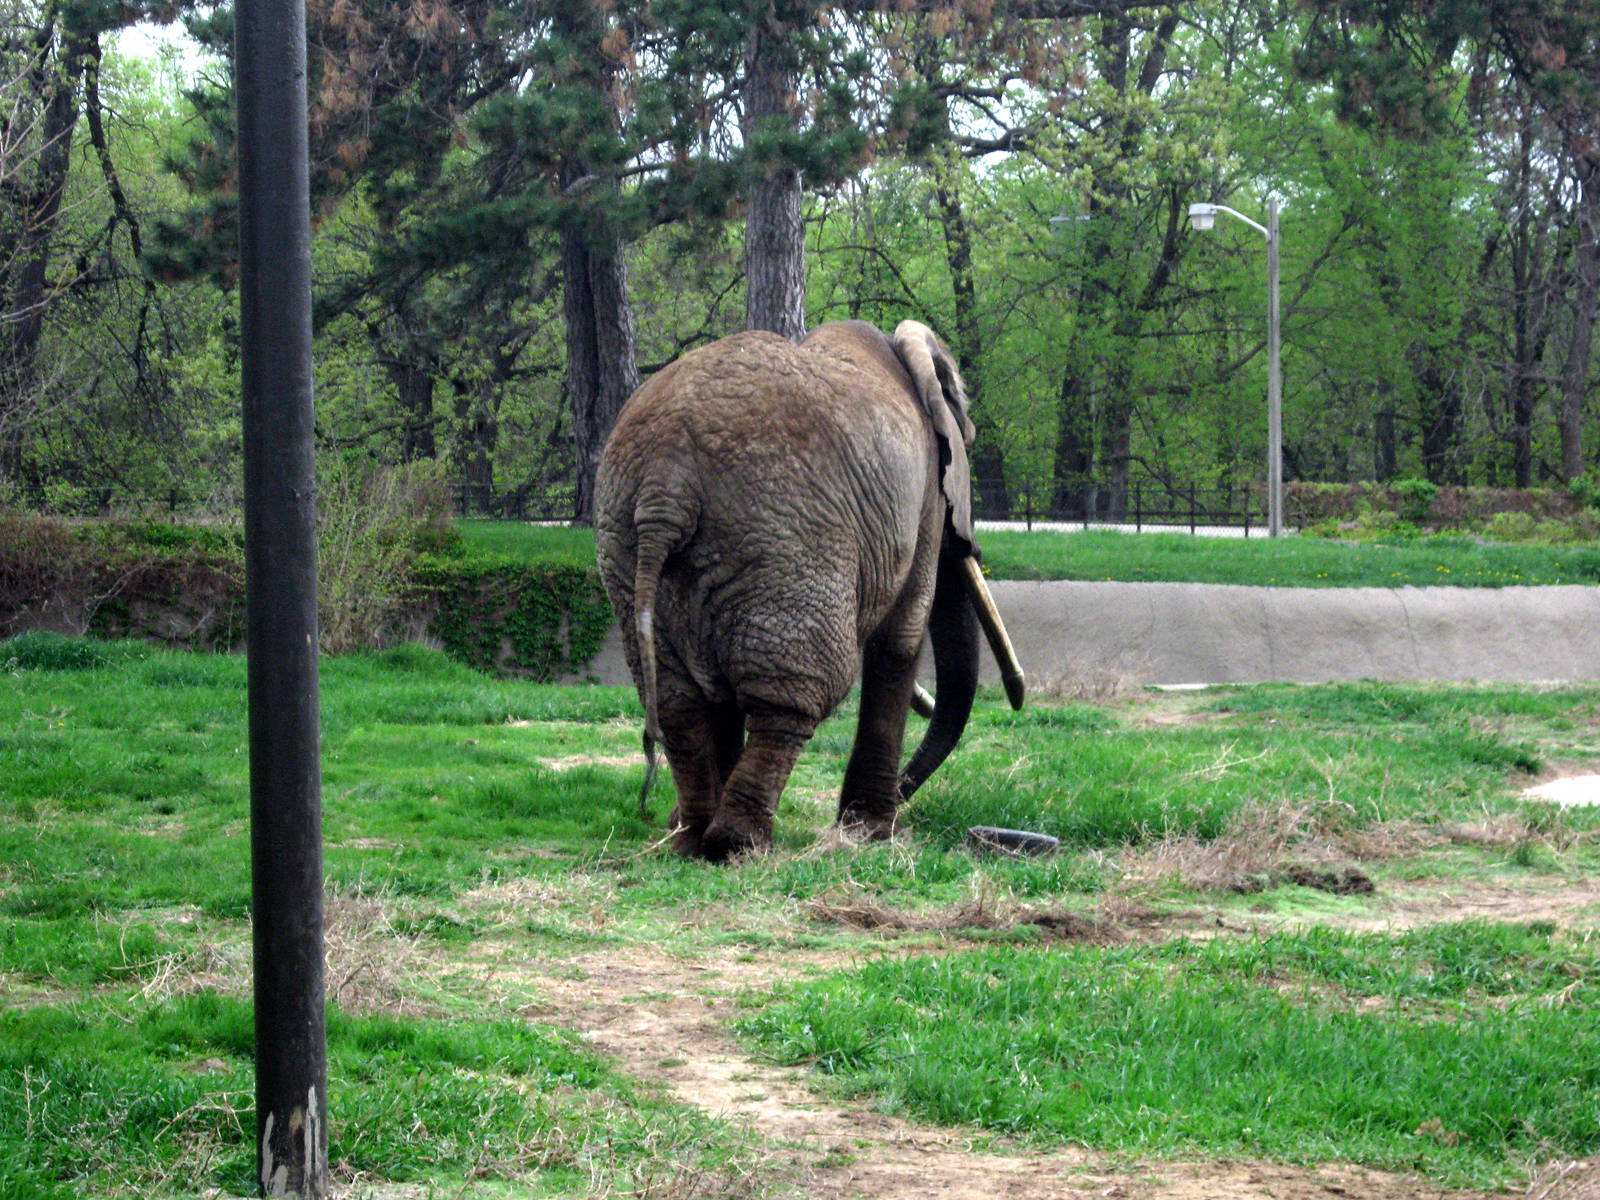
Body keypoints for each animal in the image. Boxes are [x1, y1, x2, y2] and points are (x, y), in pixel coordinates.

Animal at [594, 319, 1025, 862]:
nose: (906, 794)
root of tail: (664, 488)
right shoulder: (925, 495)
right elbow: (900, 638)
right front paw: (875, 832)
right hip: (785, 538)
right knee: (793, 698)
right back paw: (738, 843)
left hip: (625, 542)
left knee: (681, 699)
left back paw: (690, 837)